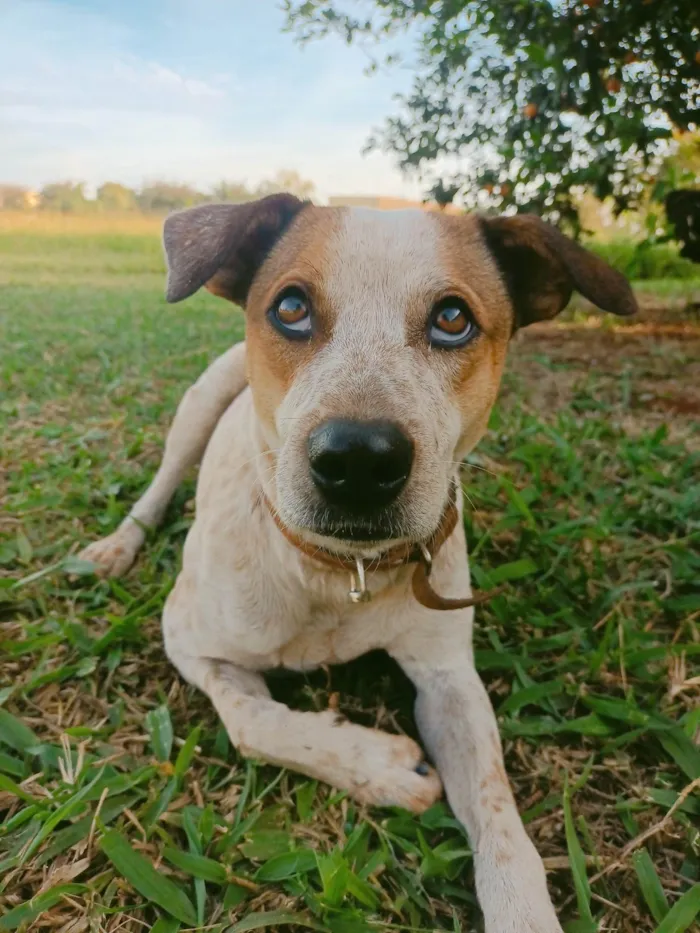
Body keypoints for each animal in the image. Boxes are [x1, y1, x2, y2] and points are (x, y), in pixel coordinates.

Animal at [79, 193, 636, 928]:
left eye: (453, 318)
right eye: (290, 306)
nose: (359, 460)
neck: (341, 572)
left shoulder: (448, 678)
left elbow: (499, 815)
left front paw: (523, 909)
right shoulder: (190, 640)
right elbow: (253, 721)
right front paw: (381, 764)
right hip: (199, 403)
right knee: (161, 482)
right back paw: (117, 546)